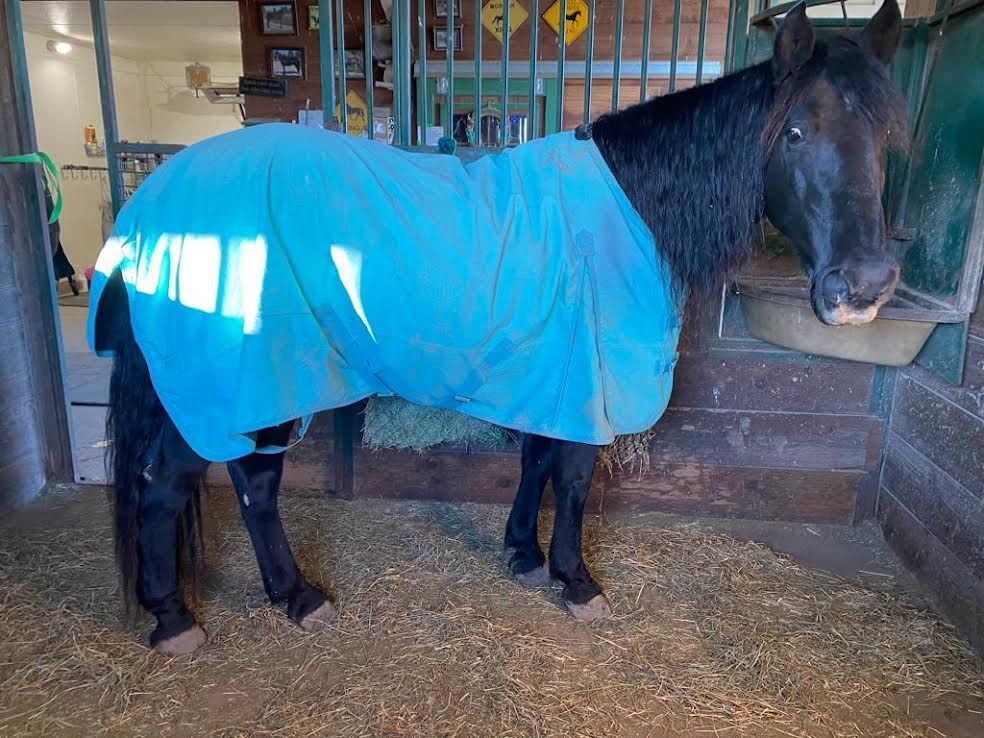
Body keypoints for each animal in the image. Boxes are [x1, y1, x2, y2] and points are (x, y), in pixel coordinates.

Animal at [89, 0, 907, 655]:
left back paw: (274, 598)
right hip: (224, 381)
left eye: (886, 139)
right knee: (181, 485)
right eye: (794, 132)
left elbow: (537, 462)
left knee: (234, 483)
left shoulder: (555, 374)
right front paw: (576, 580)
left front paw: (523, 553)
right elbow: (572, 477)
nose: (864, 286)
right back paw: (191, 617)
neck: (631, 208)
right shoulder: (587, 381)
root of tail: (150, 205)